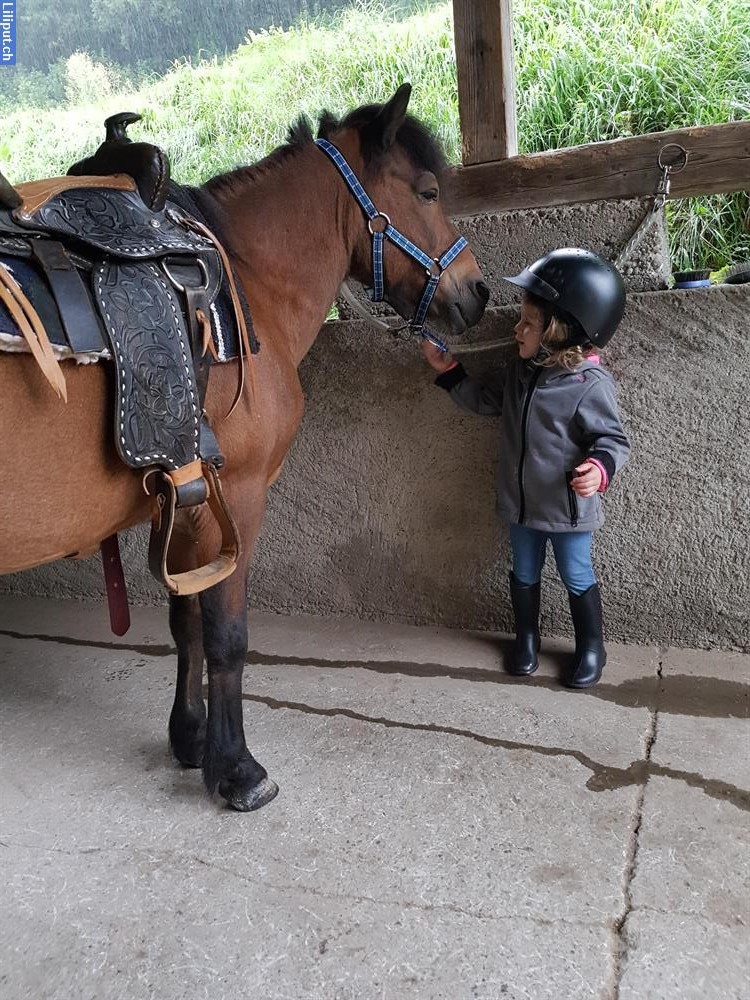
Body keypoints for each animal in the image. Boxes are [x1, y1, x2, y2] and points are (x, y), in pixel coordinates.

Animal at [0, 82, 490, 808]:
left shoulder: (184, 501)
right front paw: (235, 767)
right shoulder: (237, 497)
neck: (247, 279)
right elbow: (227, 637)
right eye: (428, 192)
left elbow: (187, 626)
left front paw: (189, 736)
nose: (477, 292)